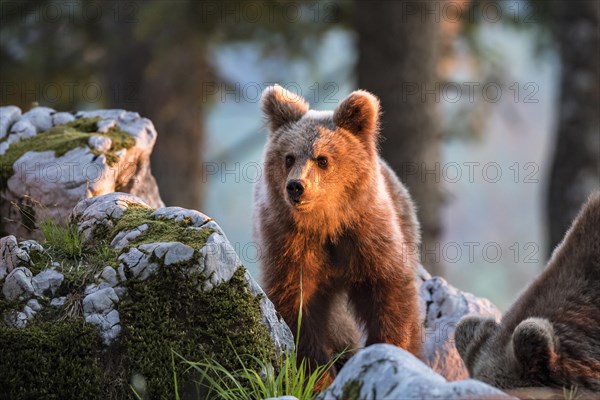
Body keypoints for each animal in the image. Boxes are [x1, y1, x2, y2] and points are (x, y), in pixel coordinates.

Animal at [253, 85, 422, 372]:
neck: (326, 223)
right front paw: (318, 370)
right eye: (289, 157)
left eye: (322, 159)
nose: (296, 186)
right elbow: (297, 306)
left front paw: (392, 346)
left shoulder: (367, 235)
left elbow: (390, 292)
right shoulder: (288, 243)